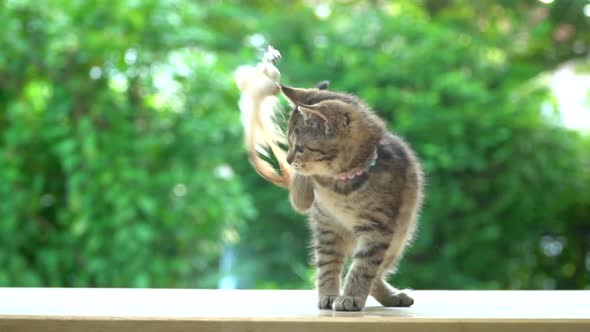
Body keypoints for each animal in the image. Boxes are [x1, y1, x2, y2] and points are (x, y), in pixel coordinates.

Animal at [282, 83, 426, 312]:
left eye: (301, 148)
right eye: (288, 143)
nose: (287, 160)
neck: (342, 185)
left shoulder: (378, 228)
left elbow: (363, 266)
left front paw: (350, 296)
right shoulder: (327, 226)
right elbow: (327, 264)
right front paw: (329, 295)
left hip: (400, 236)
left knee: (376, 272)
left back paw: (392, 296)